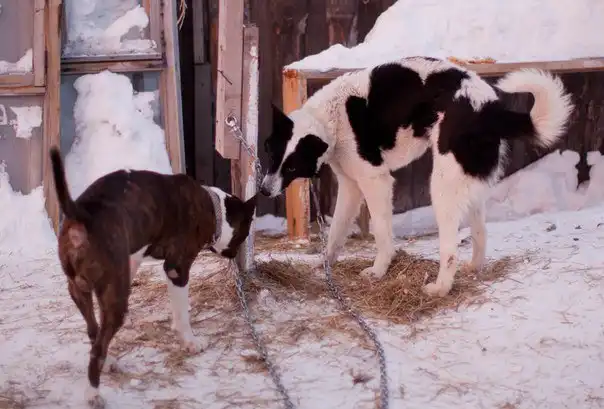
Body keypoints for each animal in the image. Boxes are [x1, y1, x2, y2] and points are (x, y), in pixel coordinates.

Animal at [50, 147, 256, 407]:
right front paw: (190, 342)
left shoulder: (134, 258)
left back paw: (107, 362)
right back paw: (93, 394)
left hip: (79, 291)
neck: (211, 207)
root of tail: (81, 213)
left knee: (95, 333)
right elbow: (182, 314)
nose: (233, 254)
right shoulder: (177, 268)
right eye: (245, 233)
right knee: (98, 347)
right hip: (115, 299)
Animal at [260, 56, 573, 297]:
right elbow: (336, 231)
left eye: (291, 168)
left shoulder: (376, 181)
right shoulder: (351, 186)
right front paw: (324, 264)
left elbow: (382, 232)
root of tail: (489, 107)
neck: (331, 119)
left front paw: (379, 270)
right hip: (466, 185)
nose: (263, 191)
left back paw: (440, 288)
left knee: (449, 248)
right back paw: (473, 268)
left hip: (442, 186)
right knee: (480, 232)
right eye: (273, 157)